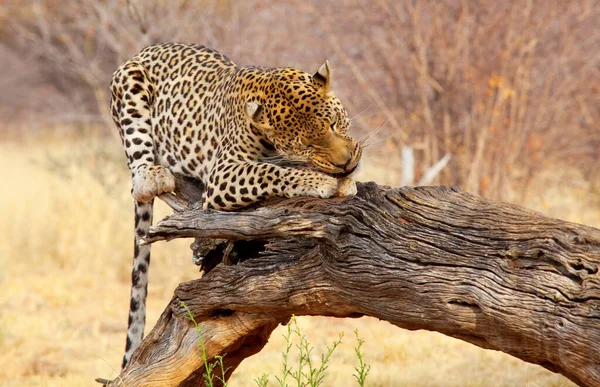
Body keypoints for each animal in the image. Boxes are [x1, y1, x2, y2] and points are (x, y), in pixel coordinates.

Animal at [110, 42, 364, 370]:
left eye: (333, 122)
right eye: (305, 144)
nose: (345, 163)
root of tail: (145, 50)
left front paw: (346, 178)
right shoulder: (223, 173)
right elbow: (270, 171)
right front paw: (320, 180)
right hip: (128, 84)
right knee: (139, 176)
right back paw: (153, 175)